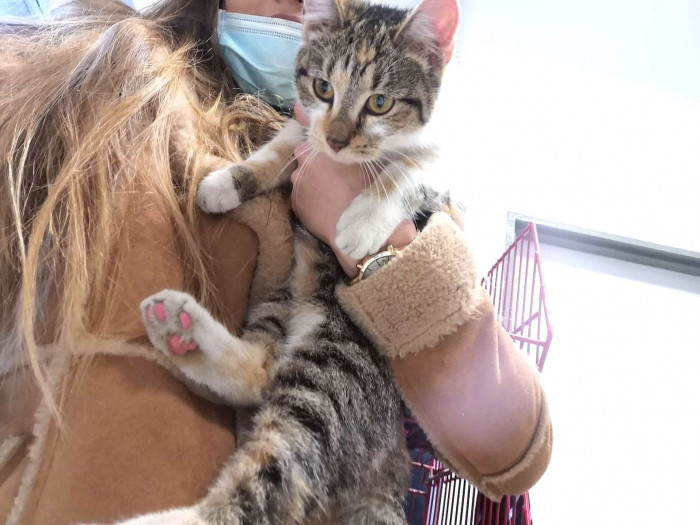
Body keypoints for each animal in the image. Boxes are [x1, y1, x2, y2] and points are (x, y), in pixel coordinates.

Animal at [120, 0, 460, 520]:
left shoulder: (441, 166)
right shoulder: (305, 127)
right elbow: (285, 145)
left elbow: (407, 170)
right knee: (261, 373)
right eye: (323, 88)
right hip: (280, 299)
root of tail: (393, 459)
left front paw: (363, 220)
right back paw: (182, 331)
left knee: (280, 467)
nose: (337, 140)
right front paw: (227, 183)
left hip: (338, 368)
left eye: (380, 103)